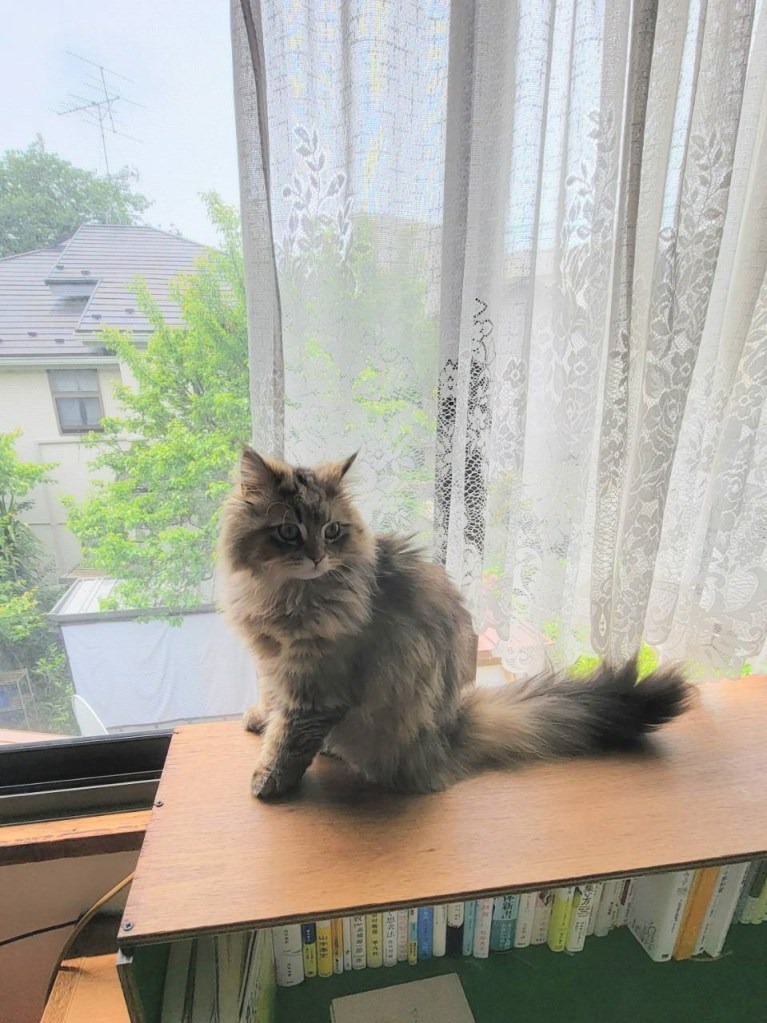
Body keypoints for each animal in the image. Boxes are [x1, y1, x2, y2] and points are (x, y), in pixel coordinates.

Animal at [218, 447, 691, 800]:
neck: (286, 596)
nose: (317, 557)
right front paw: (259, 720)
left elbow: (290, 739)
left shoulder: (317, 689)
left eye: (332, 531)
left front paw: (269, 782)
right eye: (290, 532)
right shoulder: (274, 665)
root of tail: (451, 728)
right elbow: (274, 705)